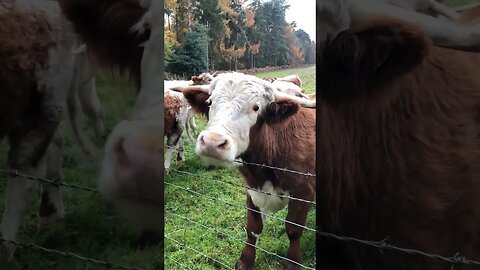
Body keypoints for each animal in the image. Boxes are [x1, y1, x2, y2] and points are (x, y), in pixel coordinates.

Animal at [174, 73, 316, 268]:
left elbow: (293, 230)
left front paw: (292, 263)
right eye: (210, 102)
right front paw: (245, 260)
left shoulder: (303, 192)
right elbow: (253, 227)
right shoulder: (252, 189)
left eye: (256, 107)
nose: (212, 142)